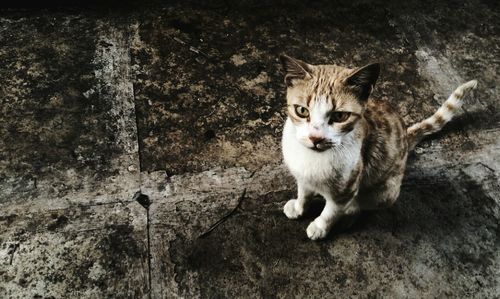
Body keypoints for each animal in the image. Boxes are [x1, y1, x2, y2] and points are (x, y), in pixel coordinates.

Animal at [280, 54, 478, 241]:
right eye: (302, 111)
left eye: (340, 116)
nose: (315, 138)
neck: (313, 159)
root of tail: (406, 137)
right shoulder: (303, 176)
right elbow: (304, 193)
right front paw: (299, 207)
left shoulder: (346, 190)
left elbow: (330, 212)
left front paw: (320, 227)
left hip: (386, 192)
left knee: (361, 205)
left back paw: (349, 216)